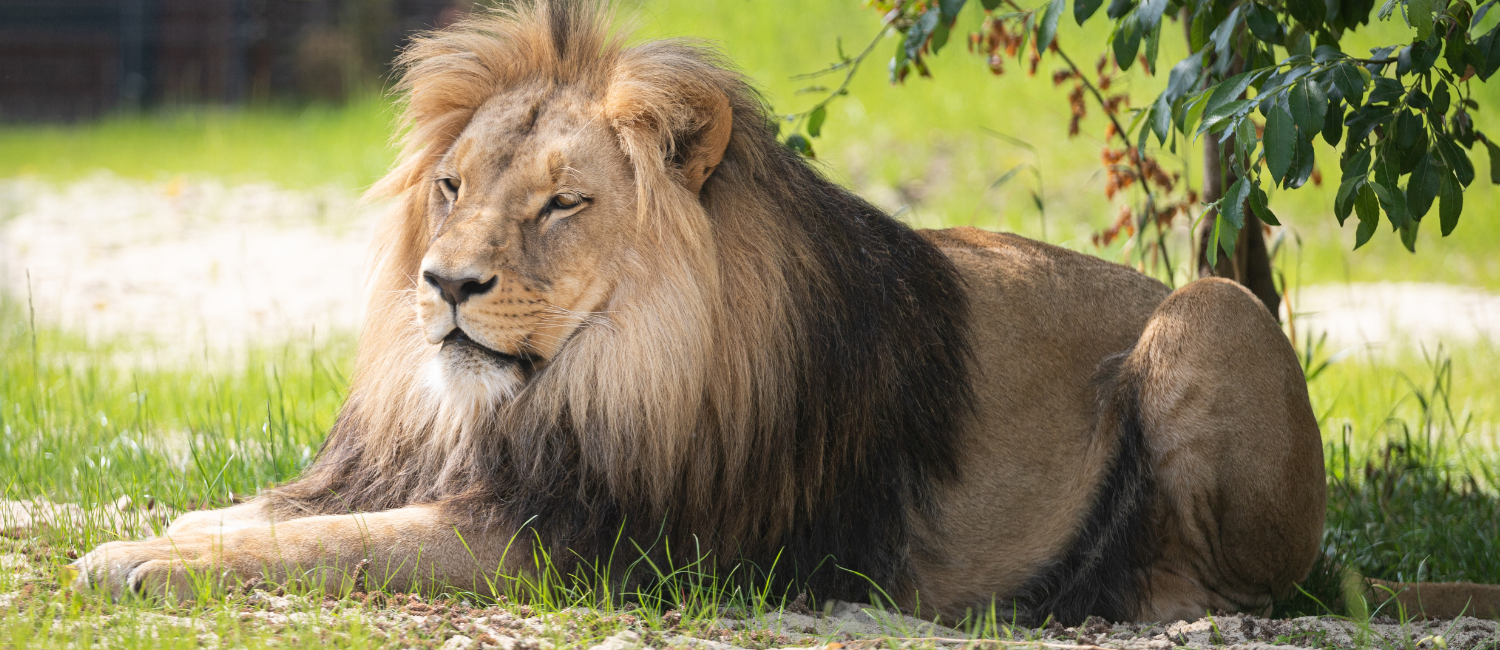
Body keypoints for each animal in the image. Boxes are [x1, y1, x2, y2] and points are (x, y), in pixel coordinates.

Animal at [16, 0, 1495, 624]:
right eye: (450, 188)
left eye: (563, 204)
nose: (445, 286)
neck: (590, 373)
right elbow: (266, 510)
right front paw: (150, 533)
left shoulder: (578, 541)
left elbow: (340, 546)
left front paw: (138, 561)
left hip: (1213, 309)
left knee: (1225, 583)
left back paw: (1088, 590)